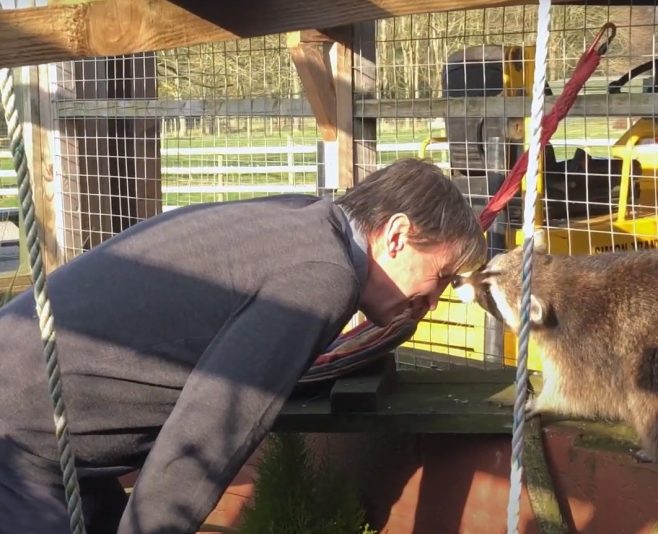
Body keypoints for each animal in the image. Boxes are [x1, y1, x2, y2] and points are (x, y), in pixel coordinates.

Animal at [452, 247, 658, 462]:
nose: (456, 280)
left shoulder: (587, 344)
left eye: (488, 292)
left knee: (645, 403)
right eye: (484, 268)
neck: (560, 282)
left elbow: (578, 391)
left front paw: (541, 402)